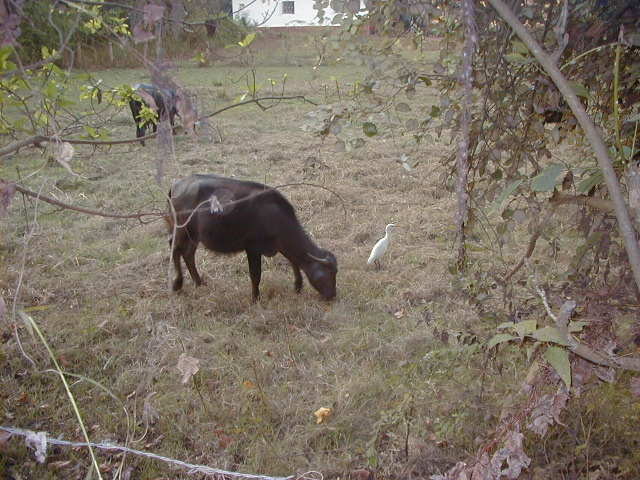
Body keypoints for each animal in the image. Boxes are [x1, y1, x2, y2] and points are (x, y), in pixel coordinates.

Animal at [166, 174, 340, 300]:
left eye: (336, 273)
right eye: (328, 274)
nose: (332, 296)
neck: (274, 216)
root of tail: (176, 185)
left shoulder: (279, 245)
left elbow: (293, 261)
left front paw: (298, 286)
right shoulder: (253, 248)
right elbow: (255, 275)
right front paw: (255, 298)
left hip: (193, 236)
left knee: (188, 254)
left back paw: (199, 282)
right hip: (181, 230)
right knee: (174, 248)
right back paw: (177, 284)